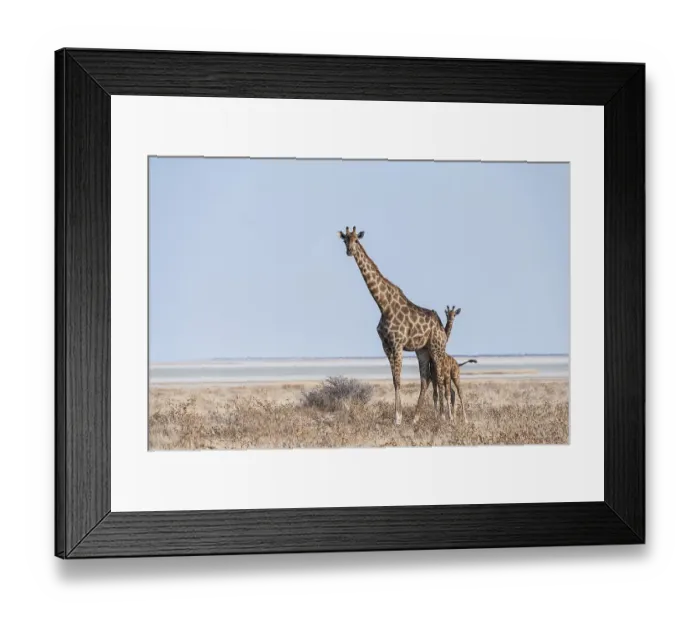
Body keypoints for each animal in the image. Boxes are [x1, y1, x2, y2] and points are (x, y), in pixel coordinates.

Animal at [337, 227, 451, 425]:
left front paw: (398, 418)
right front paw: (398, 417)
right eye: (345, 240)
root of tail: (441, 328)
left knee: (439, 376)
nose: (349, 251)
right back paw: (416, 418)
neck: (383, 304)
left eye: (356, 240)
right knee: (426, 380)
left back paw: (442, 417)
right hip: (422, 350)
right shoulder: (386, 346)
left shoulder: (397, 344)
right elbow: (394, 380)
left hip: (437, 348)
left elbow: (398, 380)